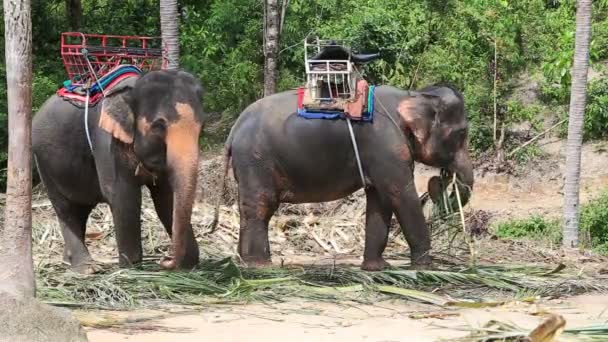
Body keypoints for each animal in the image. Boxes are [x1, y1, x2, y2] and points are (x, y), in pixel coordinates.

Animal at [33, 69, 207, 272]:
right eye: (159, 126)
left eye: (201, 126)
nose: (164, 259)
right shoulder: (106, 142)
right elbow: (123, 196)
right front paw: (131, 270)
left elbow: (166, 196)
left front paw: (188, 266)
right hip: (44, 163)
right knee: (65, 209)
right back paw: (86, 269)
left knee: (80, 210)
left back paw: (68, 262)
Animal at [213, 82, 476, 270]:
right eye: (462, 133)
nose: (440, 180)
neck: (414, 95)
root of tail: (233, 130)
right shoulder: (387, 147)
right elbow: (400, 195)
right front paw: (426, 267)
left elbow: (379, 200)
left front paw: (377, 268)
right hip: (256, 161)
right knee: (261, 207)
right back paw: (261, 266)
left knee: (247, 209)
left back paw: (243, 262)